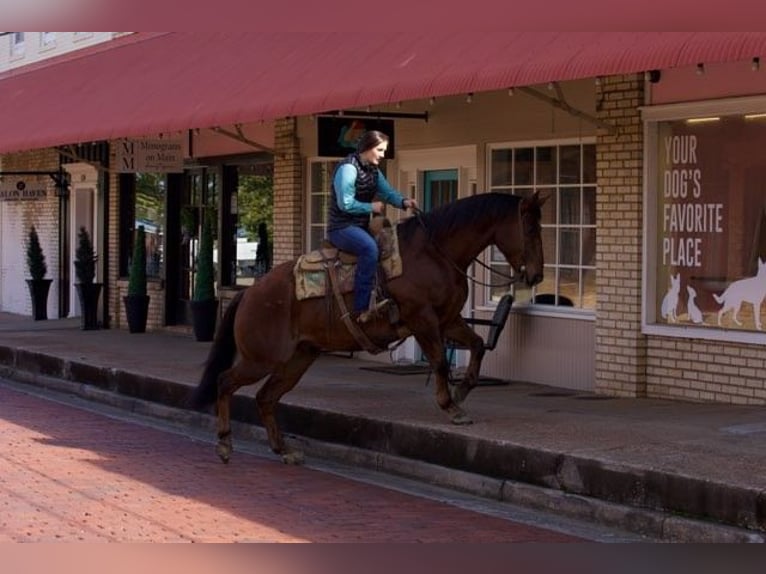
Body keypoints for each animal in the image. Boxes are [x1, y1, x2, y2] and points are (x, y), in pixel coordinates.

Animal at [189, 191, 548, 466]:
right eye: (530, 228)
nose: (536, 275)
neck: (435, 253)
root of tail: (249, 292)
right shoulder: (423, 320)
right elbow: (440, 362)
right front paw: (450, 406)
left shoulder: (449, 319)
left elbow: (475, 345)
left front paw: (461, 391)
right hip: (262, 359)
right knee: (225, 382)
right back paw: (225, 444)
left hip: (297, 359)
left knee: (265, 398)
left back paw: (284, 450)